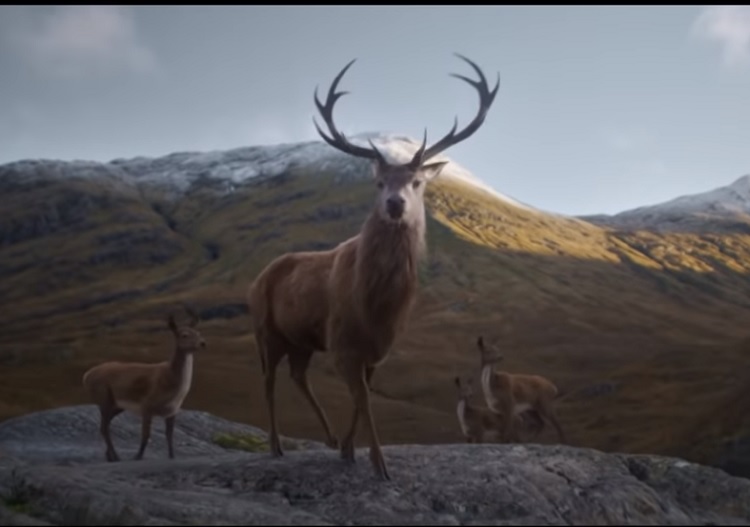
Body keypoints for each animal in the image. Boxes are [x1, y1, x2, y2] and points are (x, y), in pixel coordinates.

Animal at [82, 305, 205, 463]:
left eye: (198, 332)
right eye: (184, 335)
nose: (203, 343)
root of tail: (86, 376)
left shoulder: (173, 410)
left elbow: (170, 436)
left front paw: (172, 456)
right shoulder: (147, 406)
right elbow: (146, 435)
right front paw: (137, 456)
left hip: (117, 405)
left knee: (105, 425)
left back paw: (110, 456)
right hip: (104, 399)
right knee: (104, 427)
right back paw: (116, 457)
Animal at [246, 54, 500, 480]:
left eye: (416, 182)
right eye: (379, 182)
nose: (395, 204)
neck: (375, 306)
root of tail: (261, 274)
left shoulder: (376, 348)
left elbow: (359, 398)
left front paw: (350, 449)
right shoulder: (342, 340)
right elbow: (363, 400)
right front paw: (380, 465)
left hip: (302, 339)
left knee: (298, 376)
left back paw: (330, 439)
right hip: (266, 329)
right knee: (266, 379)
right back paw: (276, 446)